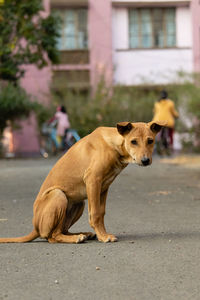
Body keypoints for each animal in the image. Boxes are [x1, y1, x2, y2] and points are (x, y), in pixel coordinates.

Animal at [0, 120, 162, 243]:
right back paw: (76, 238)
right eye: (133, 142)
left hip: (79, 203)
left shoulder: (104, 187)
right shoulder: (93, 180)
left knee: (62, 230)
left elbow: (101, 213)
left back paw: (82, 234)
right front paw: (104, 237)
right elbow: (95, 213)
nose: (145, 160)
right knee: (53, 236)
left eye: (150, 141)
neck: (113, 144)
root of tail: (35, 228)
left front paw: (102, 234)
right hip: (58, 195)